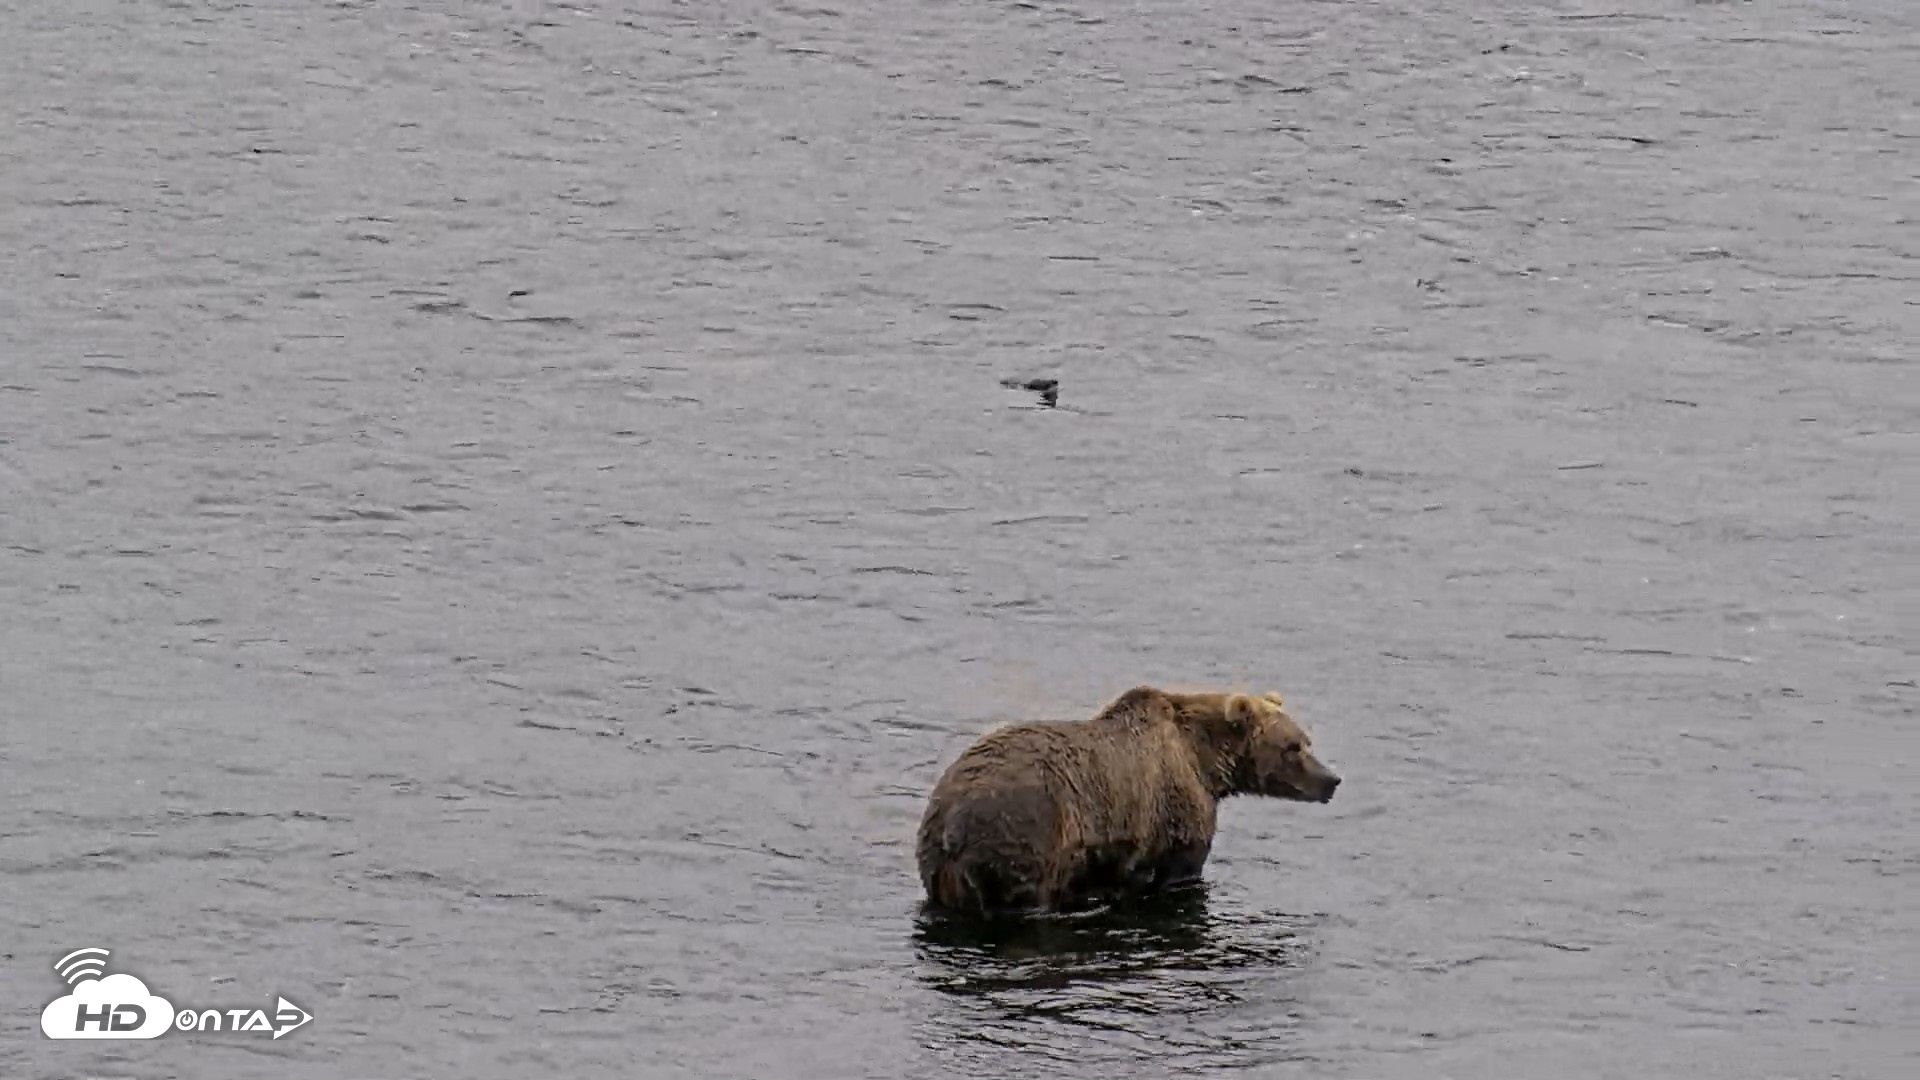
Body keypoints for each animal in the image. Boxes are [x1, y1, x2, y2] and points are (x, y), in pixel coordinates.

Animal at [915, 685, 1340, 916]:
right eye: (1293, 747)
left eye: (1306, 741)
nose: (1332, 780)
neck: (1204, 759)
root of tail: (950, 820)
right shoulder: (1175, 811)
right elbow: (1181, 870)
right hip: (1025, 837)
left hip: (938, 866)